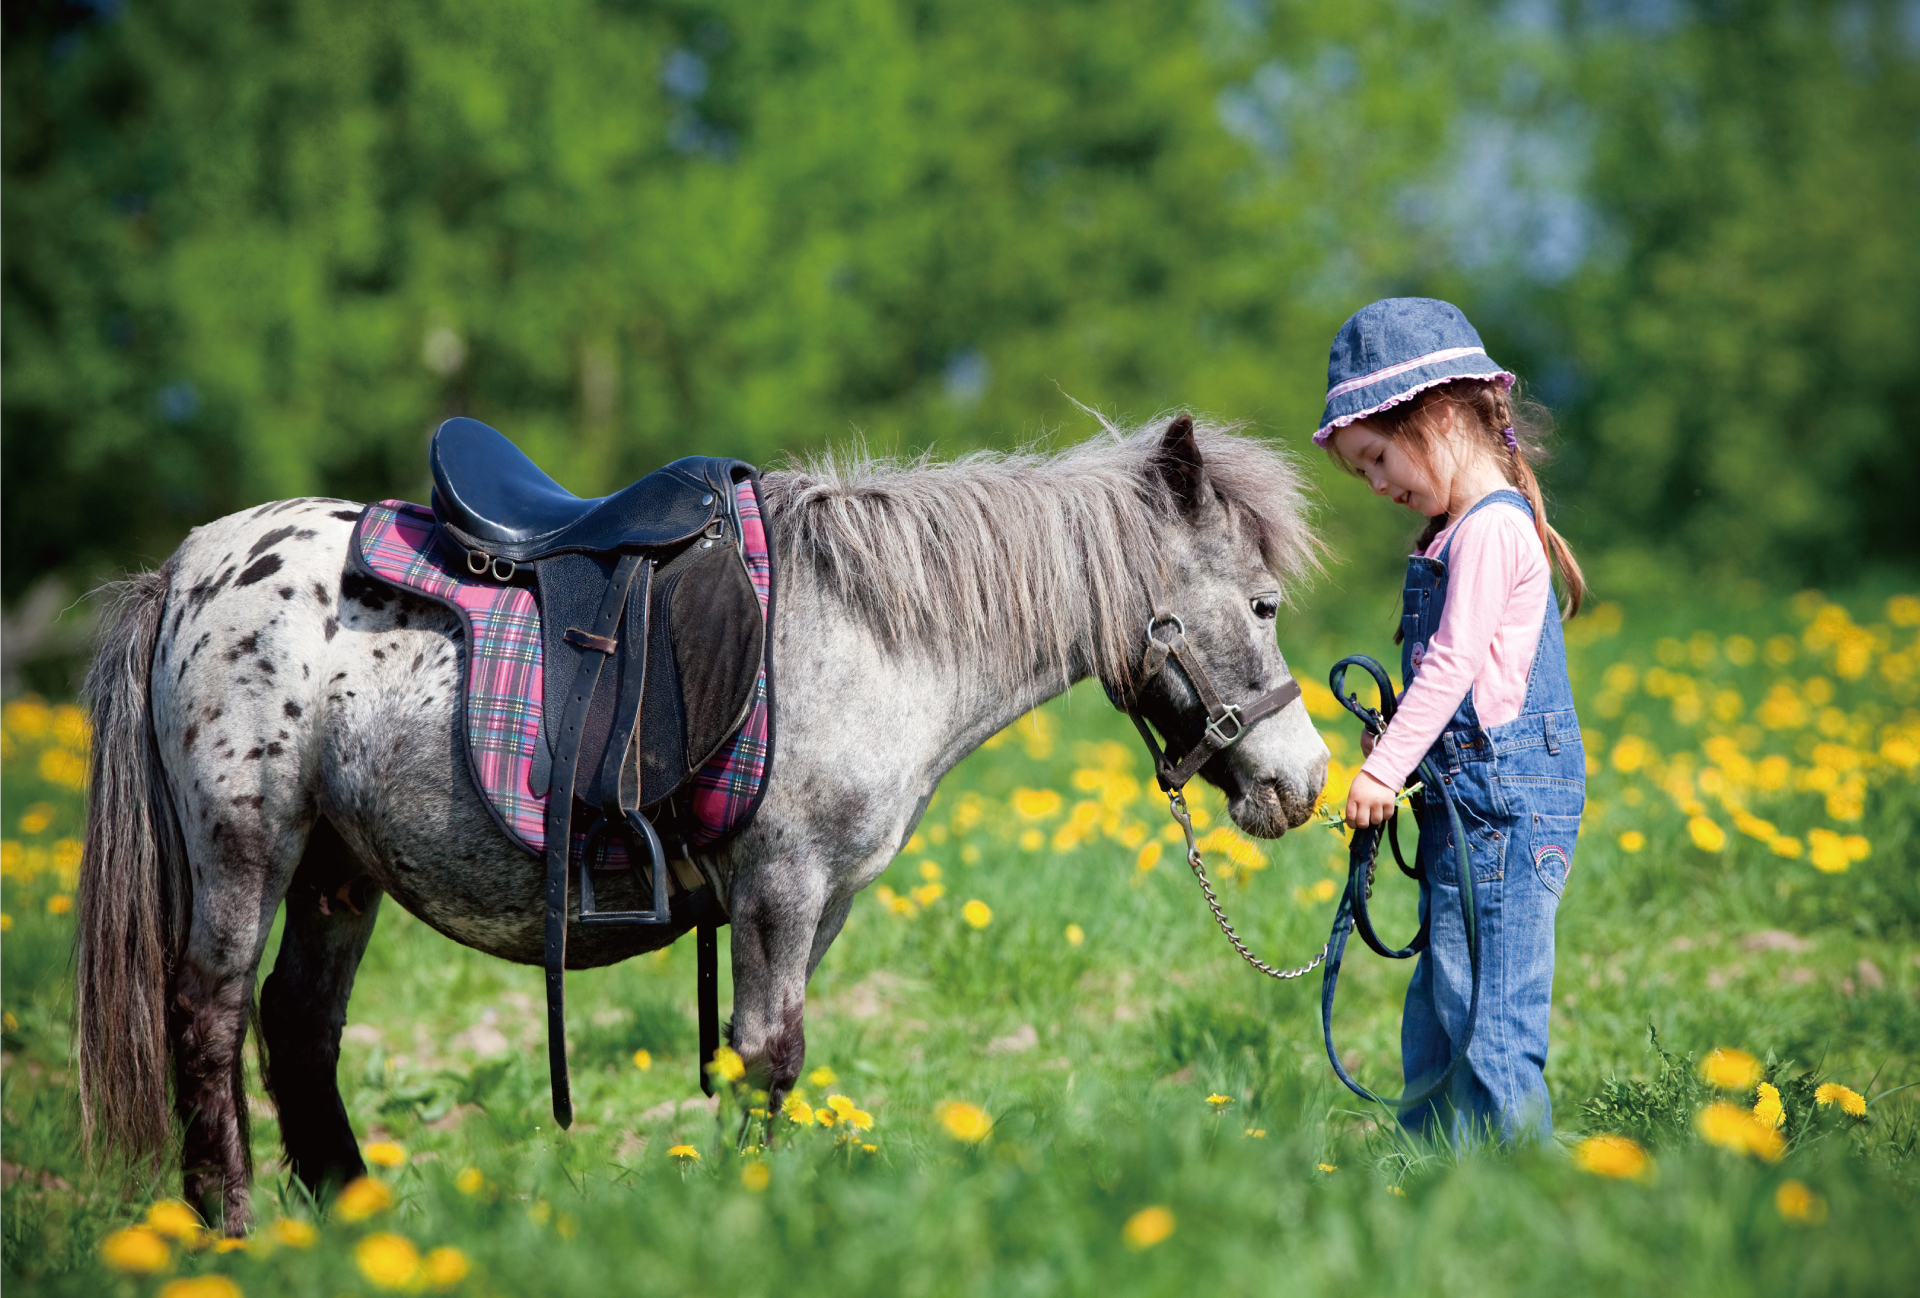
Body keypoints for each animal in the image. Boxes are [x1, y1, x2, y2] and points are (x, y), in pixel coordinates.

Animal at [75, 412, 1330, 1232]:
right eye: (1263, 605)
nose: (1306, 779)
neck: (869, 632)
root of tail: (189, 571)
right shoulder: (780, 881)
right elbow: (771, 1053)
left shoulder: (820, 902)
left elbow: (756, 1054)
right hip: (247, 848)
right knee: (209, 1014)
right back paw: (232, 1228)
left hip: (340, 870)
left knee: (299, 1026)